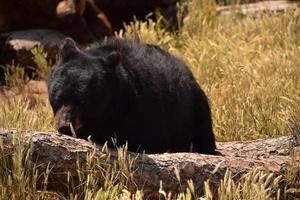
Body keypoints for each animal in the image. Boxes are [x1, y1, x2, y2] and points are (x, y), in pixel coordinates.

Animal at [47, 38, 216, 155]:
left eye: (84, 101)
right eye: (59, 97)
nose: (64, 126)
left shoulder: (141, 109)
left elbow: (150, 140)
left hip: (194, 111)